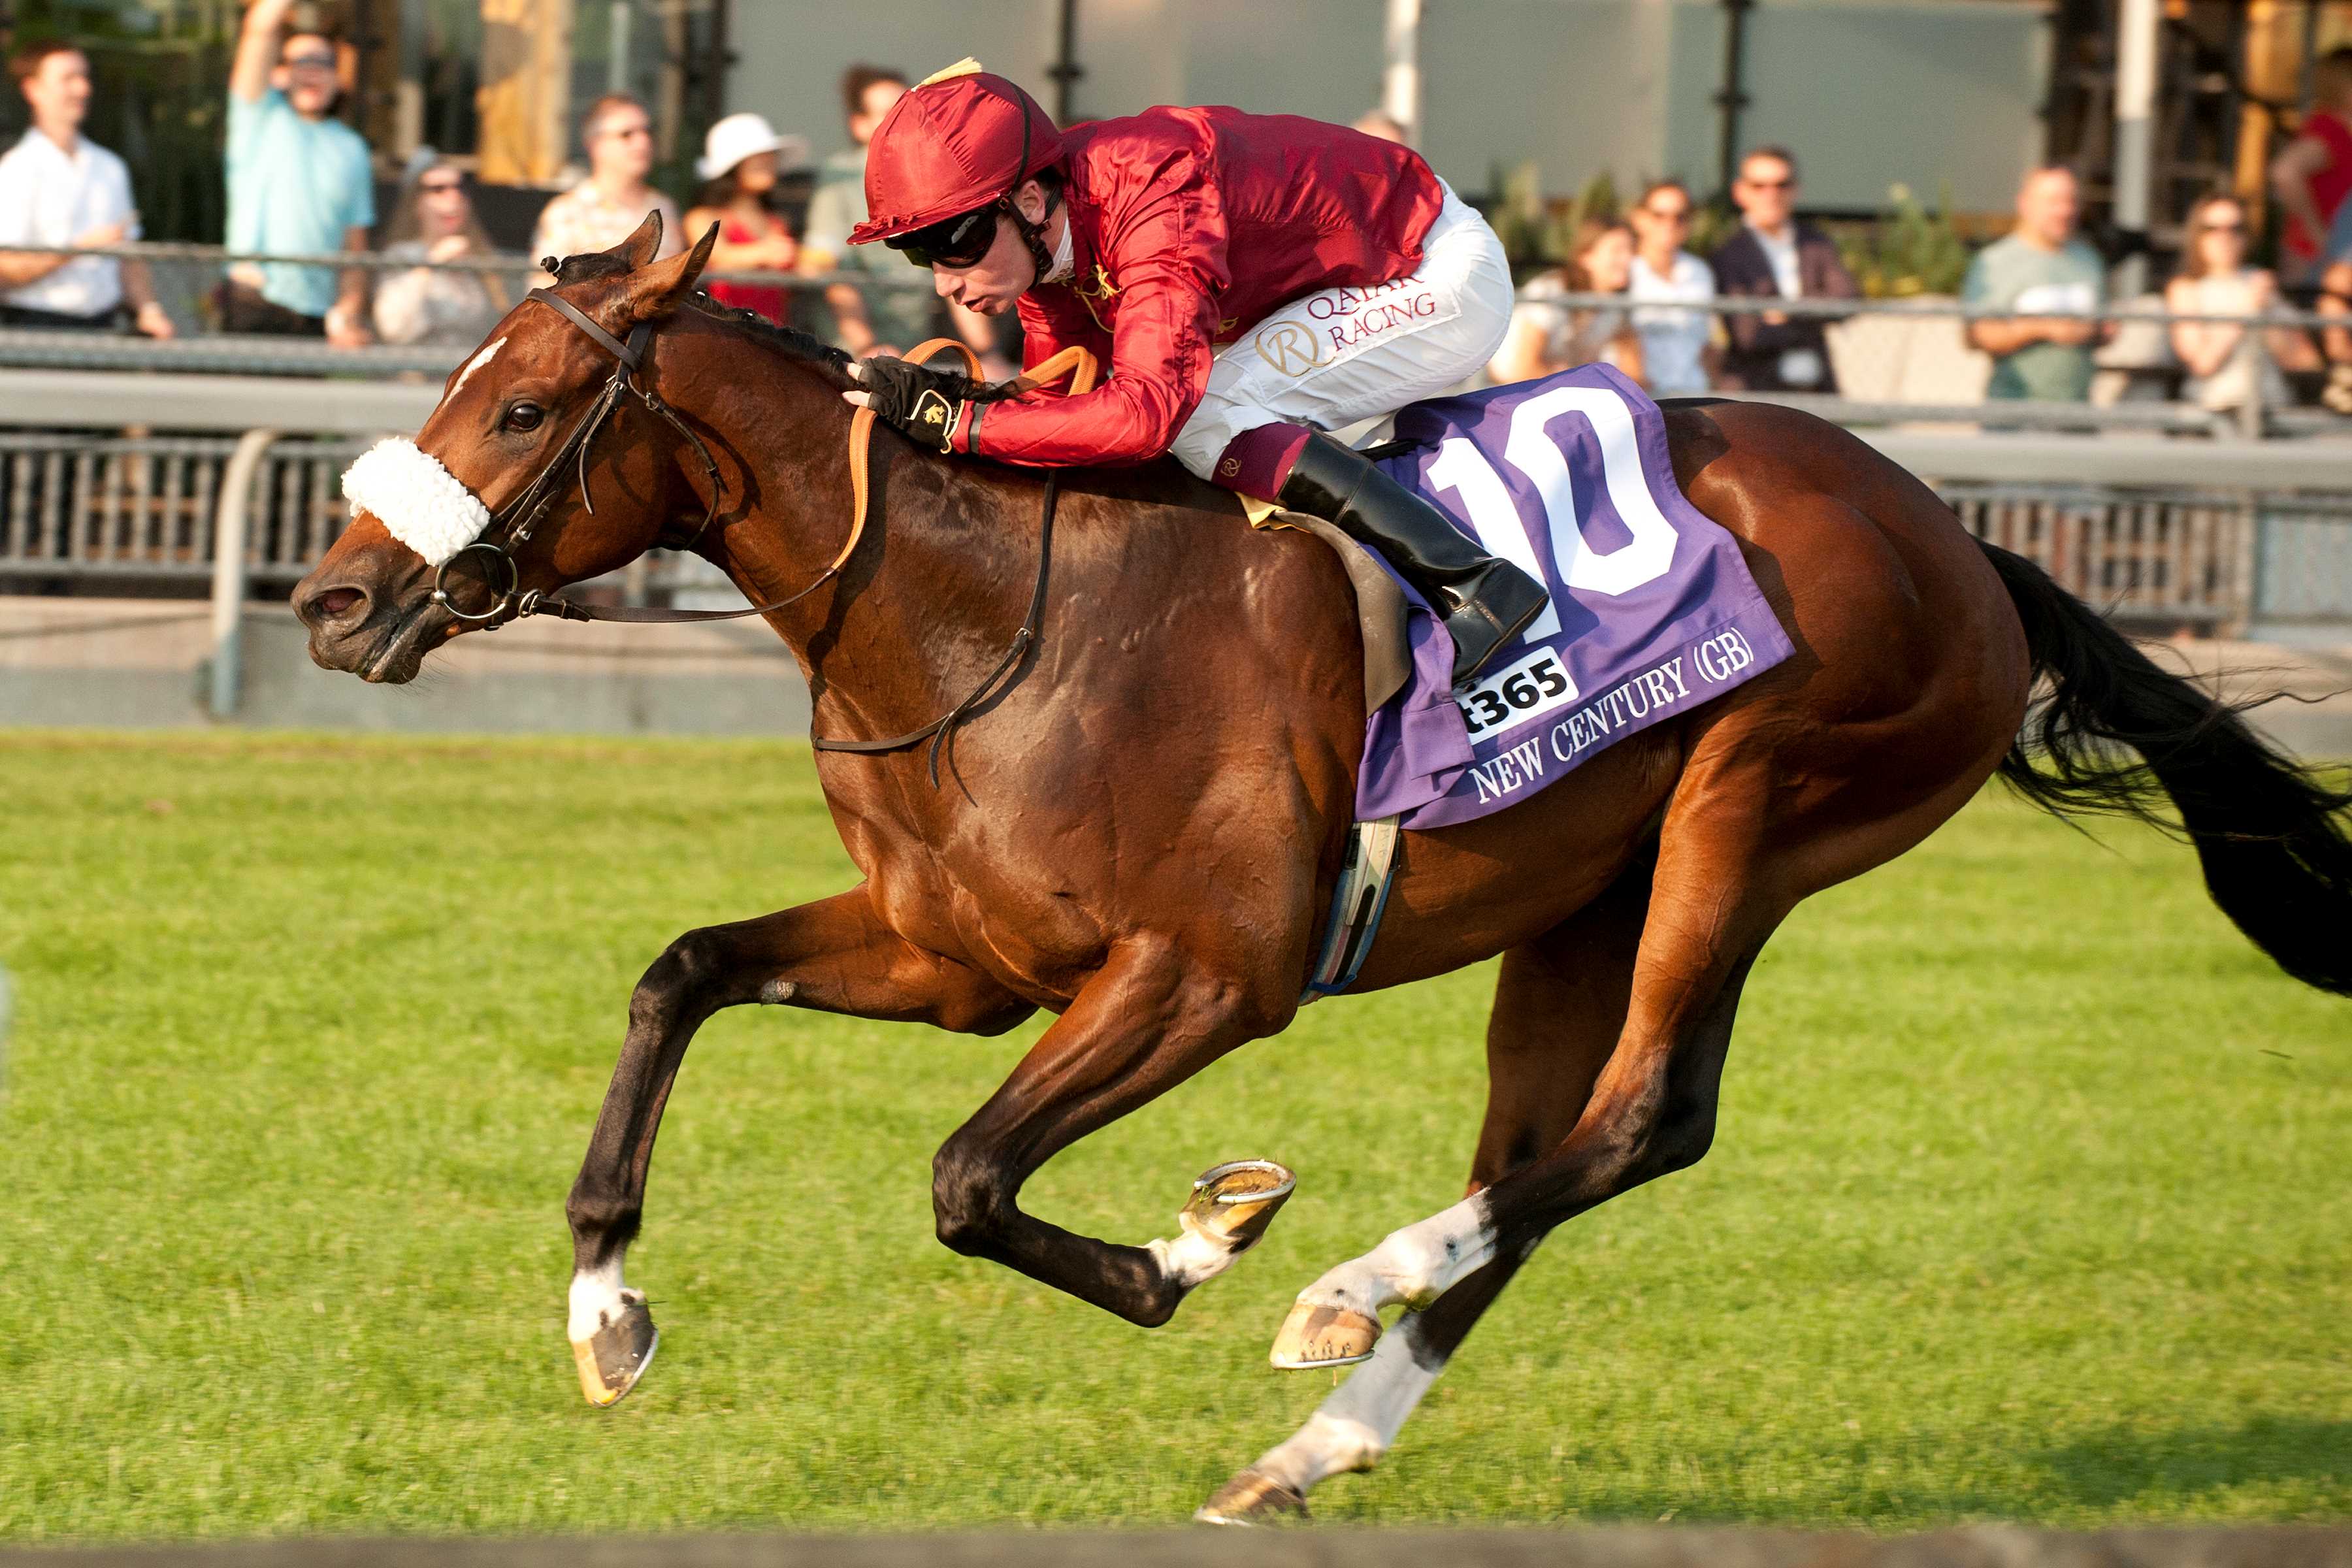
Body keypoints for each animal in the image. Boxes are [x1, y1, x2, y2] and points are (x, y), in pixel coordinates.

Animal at [294, 221, 2352, 1523]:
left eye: (523, 408)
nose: (331, 602)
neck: (975, 603)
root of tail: (1963, 538)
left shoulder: (1212, 972)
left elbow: (967, 1180)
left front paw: (1206, 1237)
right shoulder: (955, 954)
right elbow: (682, 972)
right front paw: (606, 1312)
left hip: (1756, 808)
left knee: (1640, 1120)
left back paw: (1343, 1292)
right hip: (1585, 898)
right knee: (1549, 1152)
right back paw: (1318, 1440)